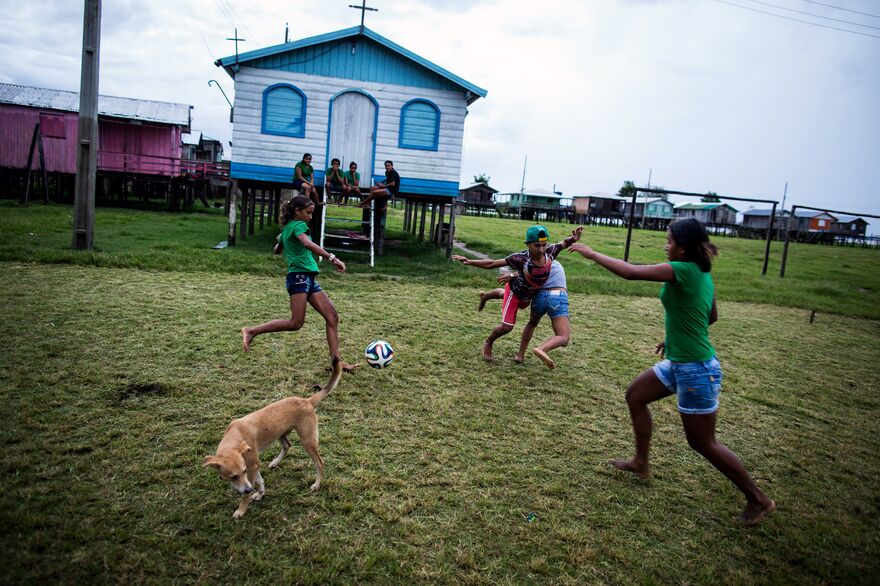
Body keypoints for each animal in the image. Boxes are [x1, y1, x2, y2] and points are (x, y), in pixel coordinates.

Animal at [205, 356, 342, 516]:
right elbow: (260, 481)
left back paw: (316, 484)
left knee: (319, 463)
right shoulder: (253, 466)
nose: (248, 489)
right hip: (281, 433)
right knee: (287, 446)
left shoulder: (251, 467)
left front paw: (241, 510)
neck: (235, 435)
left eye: (243, 472)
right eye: (233, 477)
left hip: (307, 441)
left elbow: (249, 491)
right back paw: (275, 462)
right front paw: (259, 494)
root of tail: (307, 401)